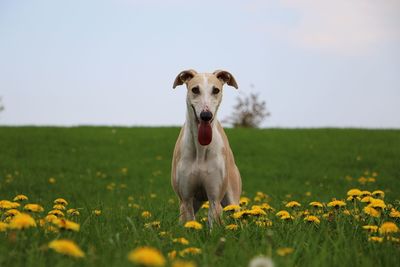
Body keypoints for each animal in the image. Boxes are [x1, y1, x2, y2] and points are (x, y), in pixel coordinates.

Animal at [171, 70, 242, 227]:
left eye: (215, 90)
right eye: (195, 89)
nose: (206, 115)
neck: (200, 149)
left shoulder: (215, 199)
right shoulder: (186, 199)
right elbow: (189, 222)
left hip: (232, 200)